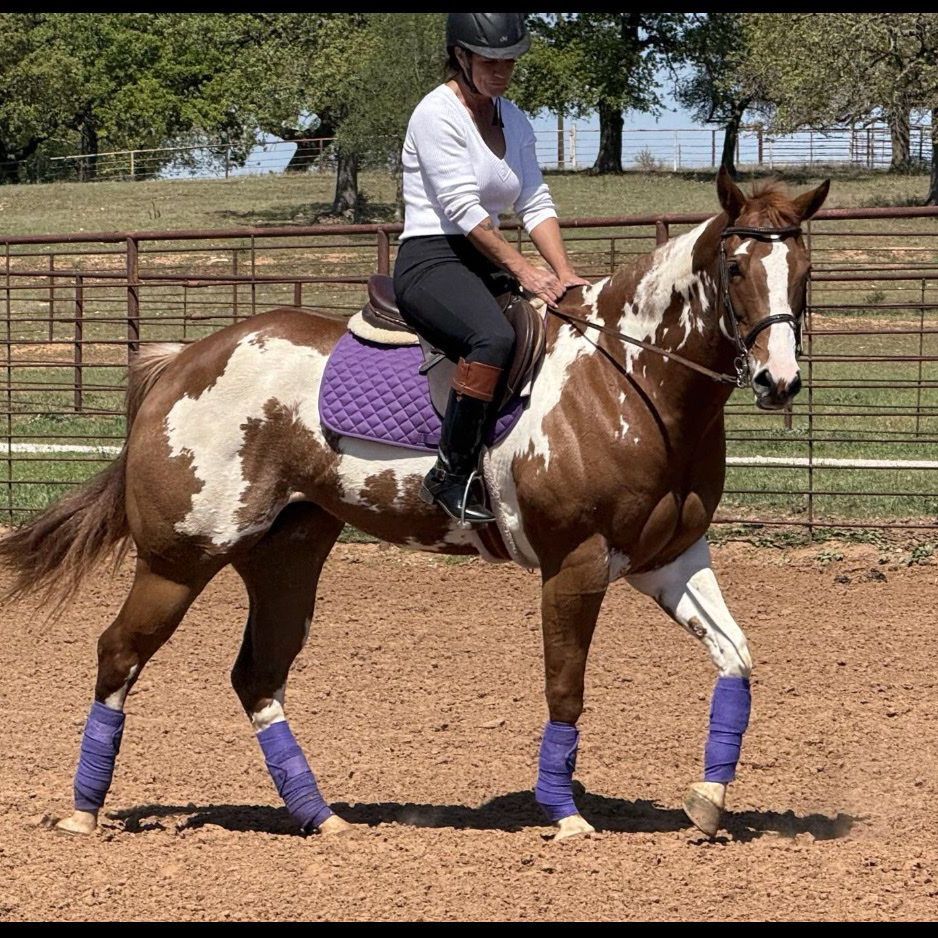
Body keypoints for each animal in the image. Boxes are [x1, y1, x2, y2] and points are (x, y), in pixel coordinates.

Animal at [0, 167, 829, 842]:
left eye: (803, 270)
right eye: (735, 266)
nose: (778, 381)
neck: (627, 376)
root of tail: (179, 363)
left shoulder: (669, 560)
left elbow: (737, 660)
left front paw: (709, 802)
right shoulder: (575, 565)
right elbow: (565, 688)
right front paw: (564, 815)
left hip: (285, 556)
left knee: (257, 677)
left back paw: (320, 817)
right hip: (181, 558)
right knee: (119, 654)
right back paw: (83, 813)